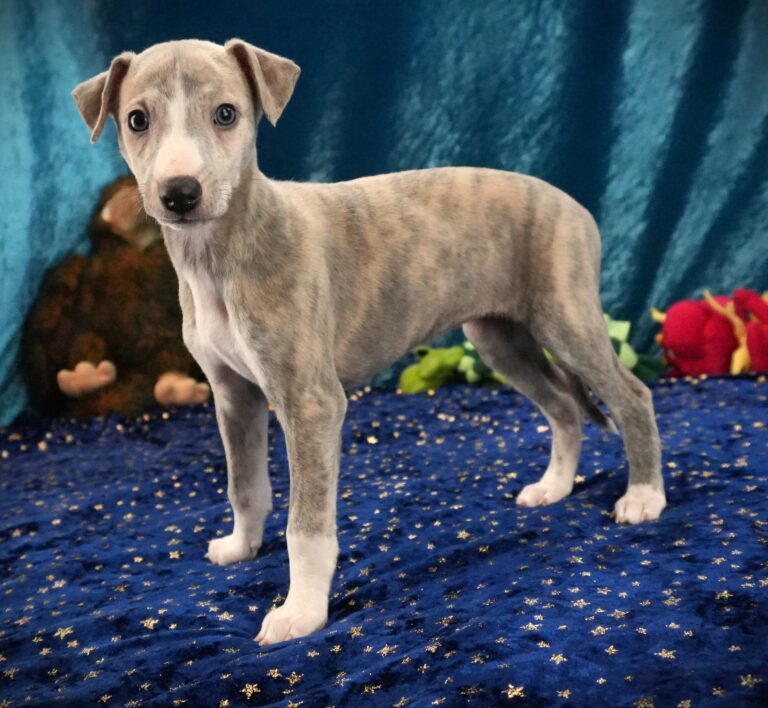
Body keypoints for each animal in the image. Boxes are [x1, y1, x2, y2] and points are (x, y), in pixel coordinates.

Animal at [72, 39, 665, 645]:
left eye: (226, 114)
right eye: (137, 120)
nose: (180, 193)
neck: (221, 254)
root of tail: (575, 206)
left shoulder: (311, 403)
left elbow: (306, 526)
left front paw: (301, 612)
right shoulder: (233, 395)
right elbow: (245, 485)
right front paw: (242, 546)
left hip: (565, 319)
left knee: (631, 396)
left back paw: (643, 496)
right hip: (501, 338)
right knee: (565, 406)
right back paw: (555, 487)